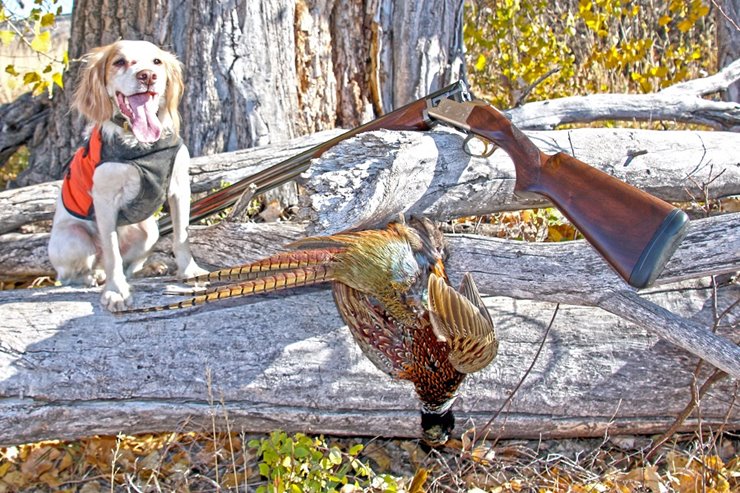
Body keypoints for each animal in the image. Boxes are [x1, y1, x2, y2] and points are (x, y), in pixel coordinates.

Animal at [49, 42, 207, 312]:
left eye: (157, 62)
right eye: (119, 62)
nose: (148, 76)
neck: (139, 145)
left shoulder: (179, 188)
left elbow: (181, 236)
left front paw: (189, 270)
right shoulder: (104, 201)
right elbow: (112, 251)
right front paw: (115, 292)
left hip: (149, 230)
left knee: (129, 266)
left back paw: (150, 268)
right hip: (74, 237)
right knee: (71, 275)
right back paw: (94, 276)